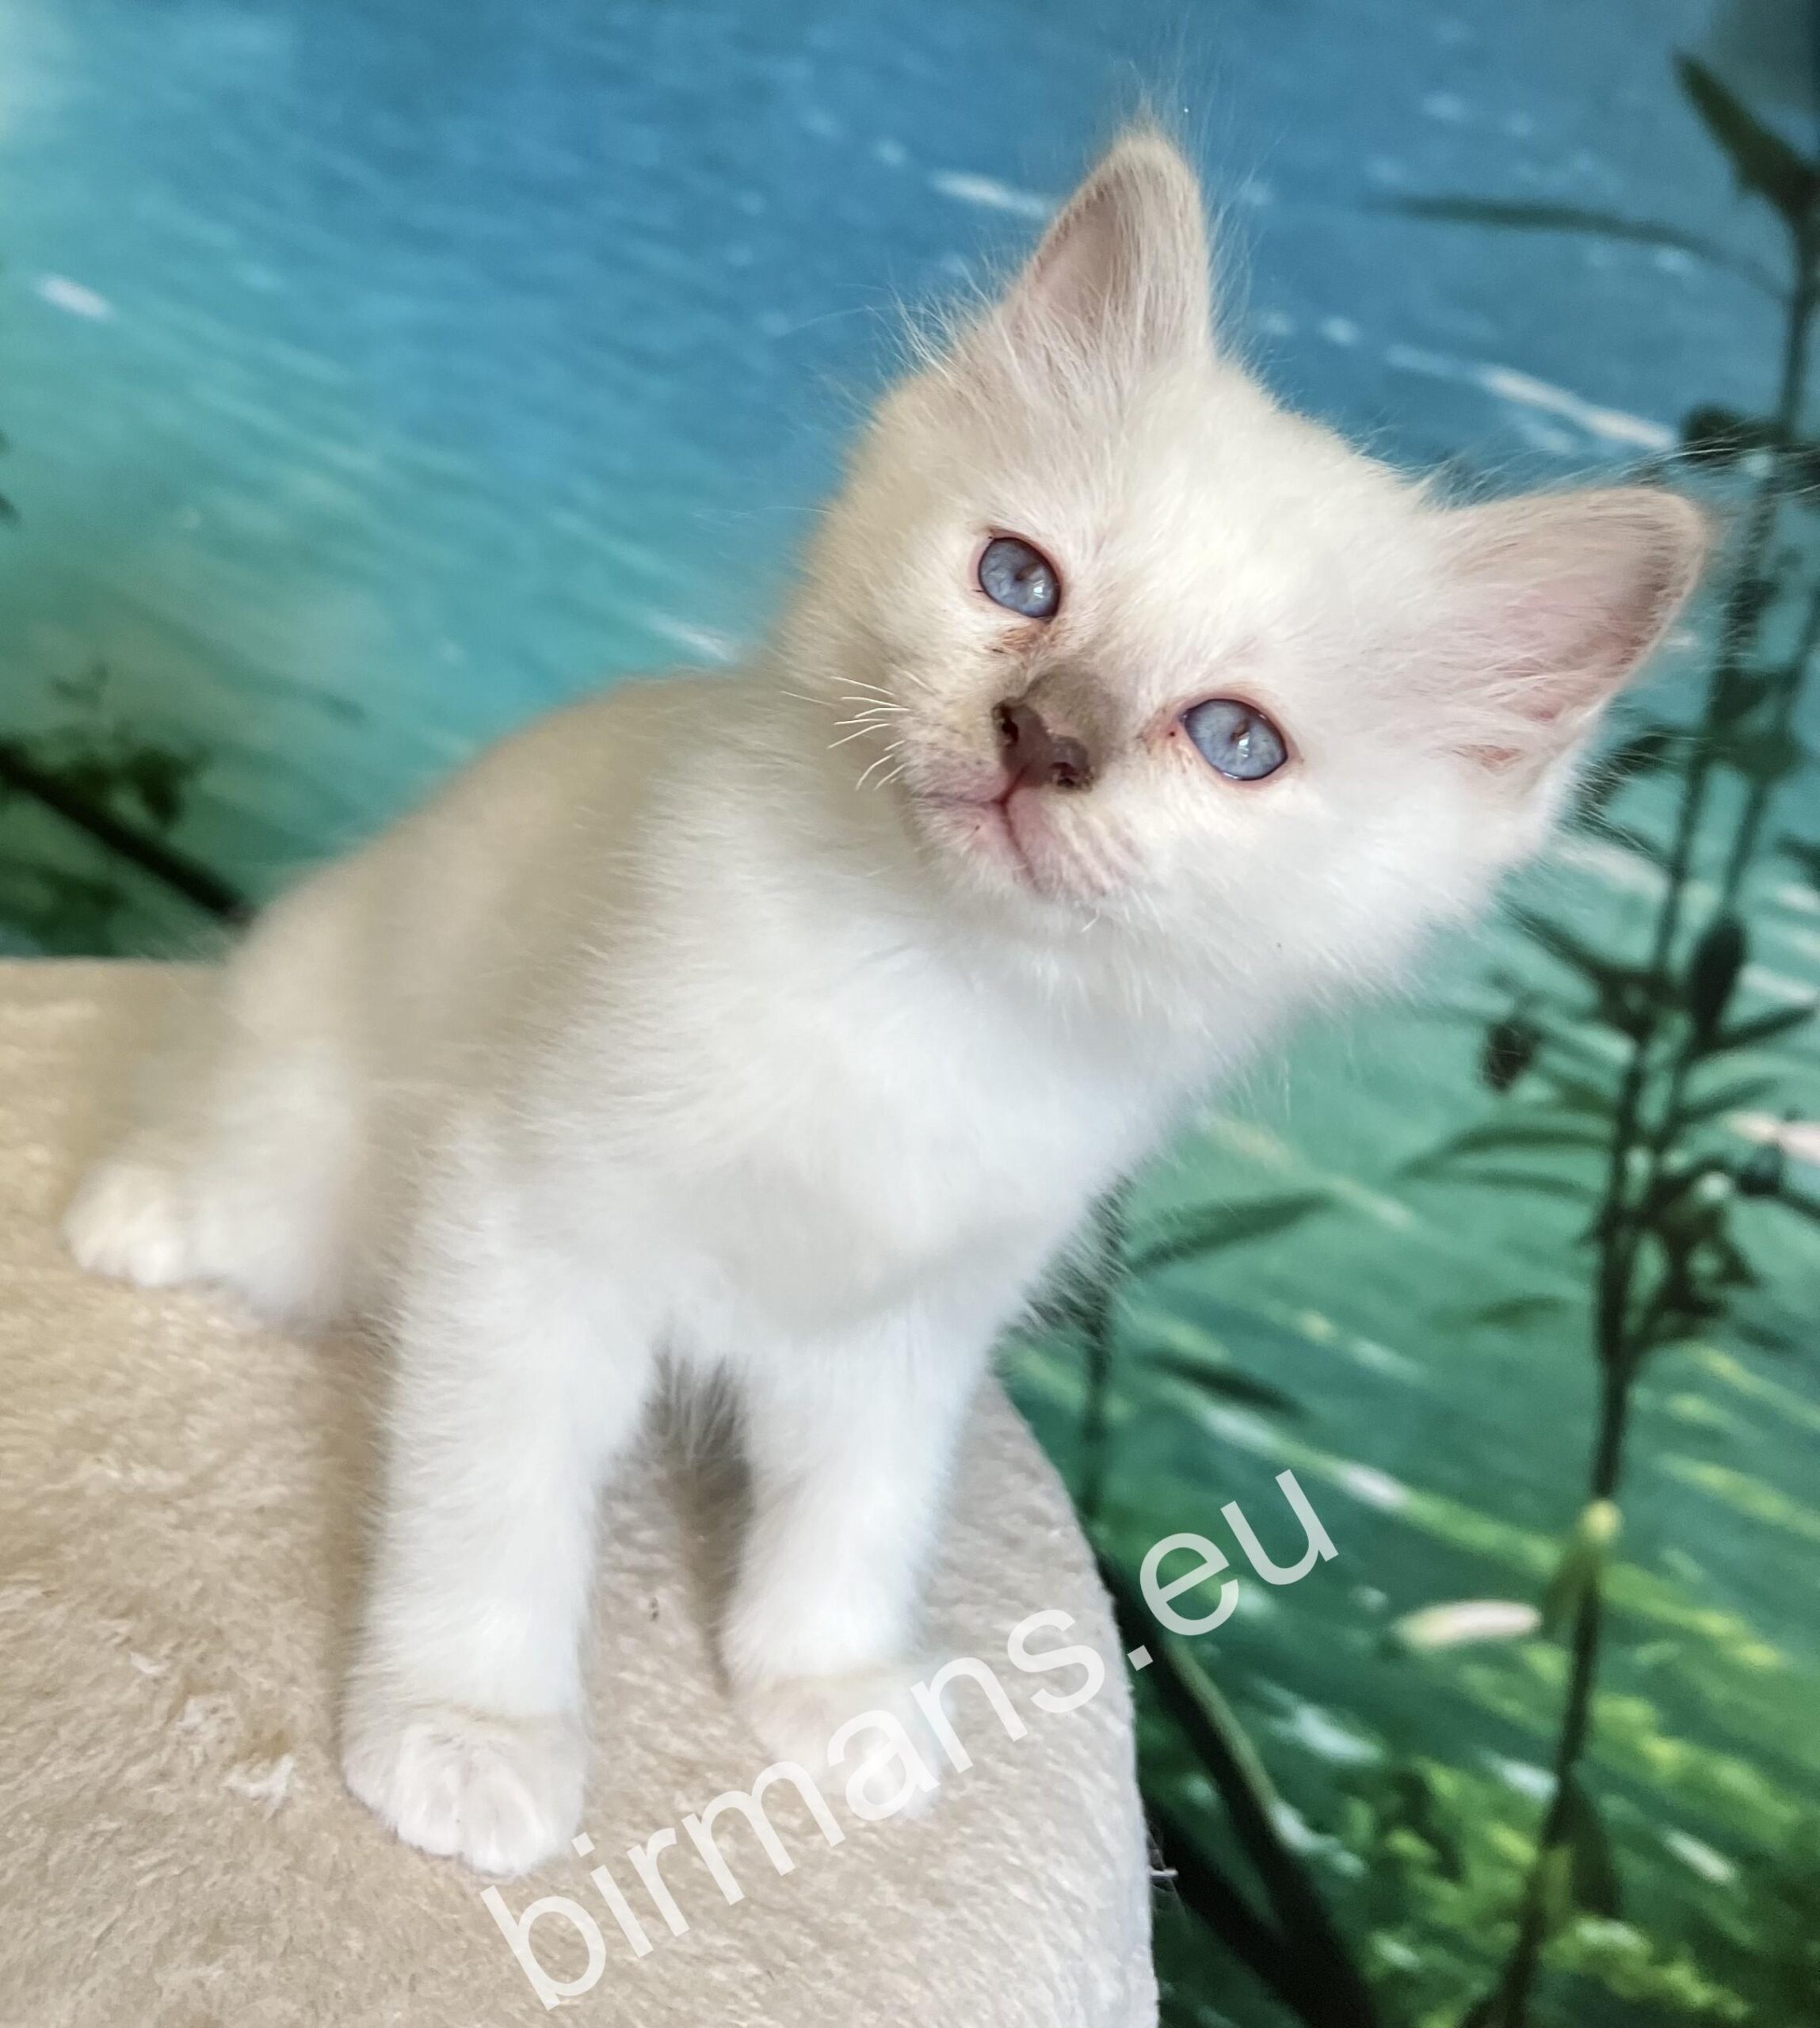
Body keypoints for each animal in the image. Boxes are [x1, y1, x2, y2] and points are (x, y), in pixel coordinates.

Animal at [64, 128, 1706, 1877]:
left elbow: (853, 1525)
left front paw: (830, 1704)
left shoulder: (910, 1329)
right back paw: (135, 1212)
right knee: (219, 1145)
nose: (1043, 734)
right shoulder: (528, 1228)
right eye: (1018, 579)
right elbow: (492, 1515)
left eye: (1233, 741)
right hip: (312, 1150)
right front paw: (470, 1734)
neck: (932, 985)